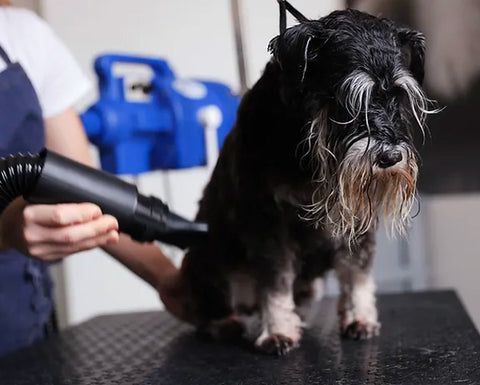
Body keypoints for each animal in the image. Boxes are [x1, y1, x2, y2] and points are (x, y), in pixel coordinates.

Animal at [179, 7, 436, 354]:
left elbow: (356, 273)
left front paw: (360, 317)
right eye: (346, 100)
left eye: (398, 96)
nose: (390, 157)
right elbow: (274, 280)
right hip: (205, 261)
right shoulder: (267, 221)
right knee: (212, 309)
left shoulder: (356, 218)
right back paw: (230, 324)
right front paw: (277, 331)